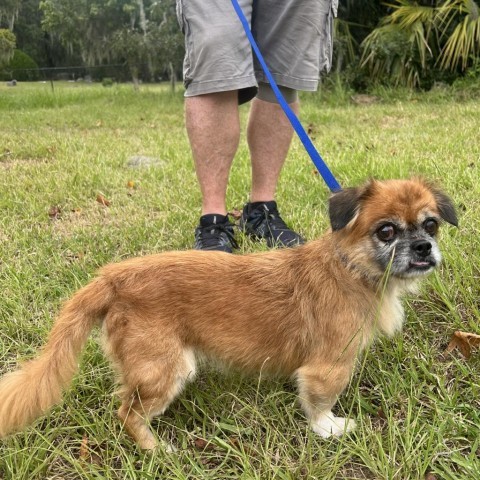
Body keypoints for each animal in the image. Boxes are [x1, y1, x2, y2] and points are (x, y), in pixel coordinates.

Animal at [0, 177, 458, 450]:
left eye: (431, 225)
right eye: (386, 231)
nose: (423, 247)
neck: (352, 268)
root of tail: (113, 278)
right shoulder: (328, 366)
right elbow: (319, 402)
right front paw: (327, 428)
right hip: (167, 368)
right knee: (127, 413)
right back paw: (154, 449)